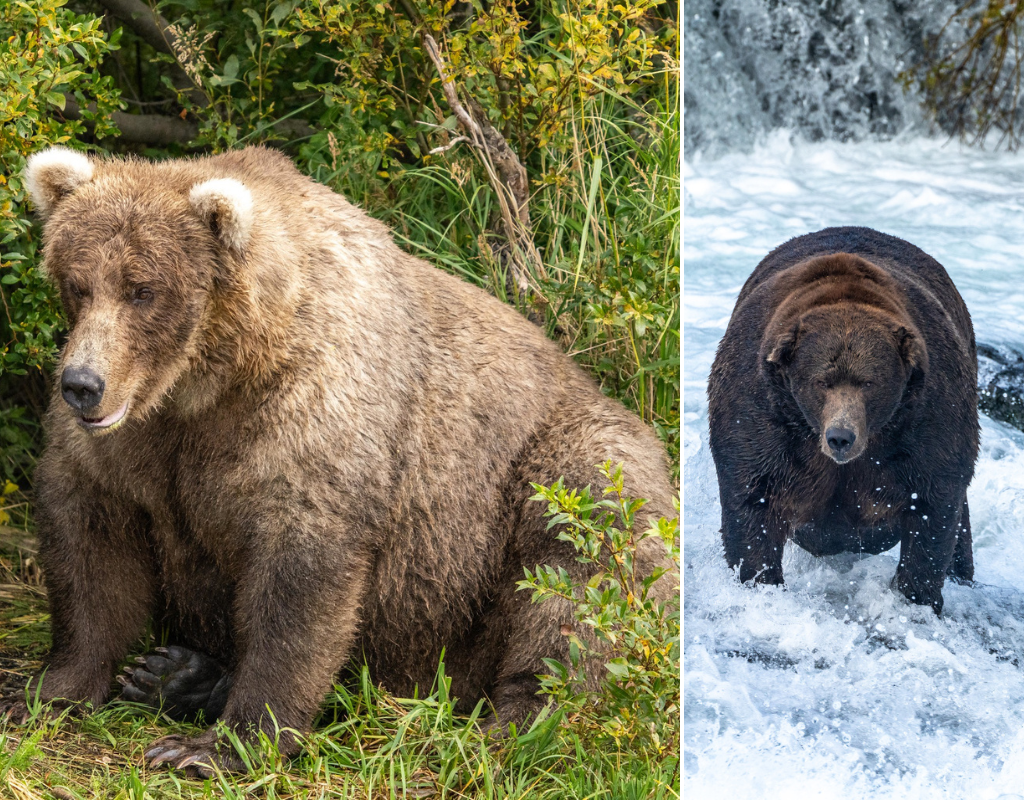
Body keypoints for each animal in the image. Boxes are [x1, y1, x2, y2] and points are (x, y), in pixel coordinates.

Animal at [0, 146, 677, 775]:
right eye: (78, 282)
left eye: (144, 289)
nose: (82, 384)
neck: (207, 383)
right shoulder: (132, 449)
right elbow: (91, 550)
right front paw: (45, 690)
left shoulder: (311, 424)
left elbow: (300, 584)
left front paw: (217, 746)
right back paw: (176, 674)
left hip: (553, 478)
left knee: (577, 580)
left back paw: (515, 727)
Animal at [707, 226, 978, 614]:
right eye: (821, 381)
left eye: (869, 382)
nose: (840, 437)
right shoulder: (762, 411)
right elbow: (752, 500)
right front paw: (760, 580)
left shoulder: (928, 415)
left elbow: (933, 506)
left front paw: (917, 597)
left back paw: (962, 572)